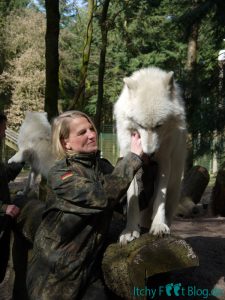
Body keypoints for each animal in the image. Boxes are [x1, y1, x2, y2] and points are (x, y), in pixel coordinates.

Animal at [114, 66, 186, 244]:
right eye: (140, 125)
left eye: (159, 125)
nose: (149, 153)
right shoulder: (129, 158)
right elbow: (132, 199)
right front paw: (130, 231)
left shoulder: (164, 162)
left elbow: (160, 198)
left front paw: (159, 226)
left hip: (175, 189)